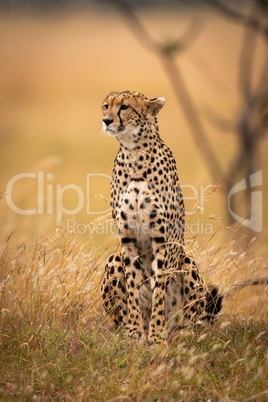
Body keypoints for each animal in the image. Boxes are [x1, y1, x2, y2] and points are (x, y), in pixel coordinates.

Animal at [100, 92, 222, 346]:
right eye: (106, 106)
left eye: (124, 107)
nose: (106, 120)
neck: (134, 153)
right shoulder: (127, 238)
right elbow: (134, 289)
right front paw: (135, 333)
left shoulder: (163, 239)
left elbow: (159, 291)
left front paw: (156, 336)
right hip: (114, 259)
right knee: (118, 318)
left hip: (186, 259)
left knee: (191, 318)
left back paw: (180, 331)